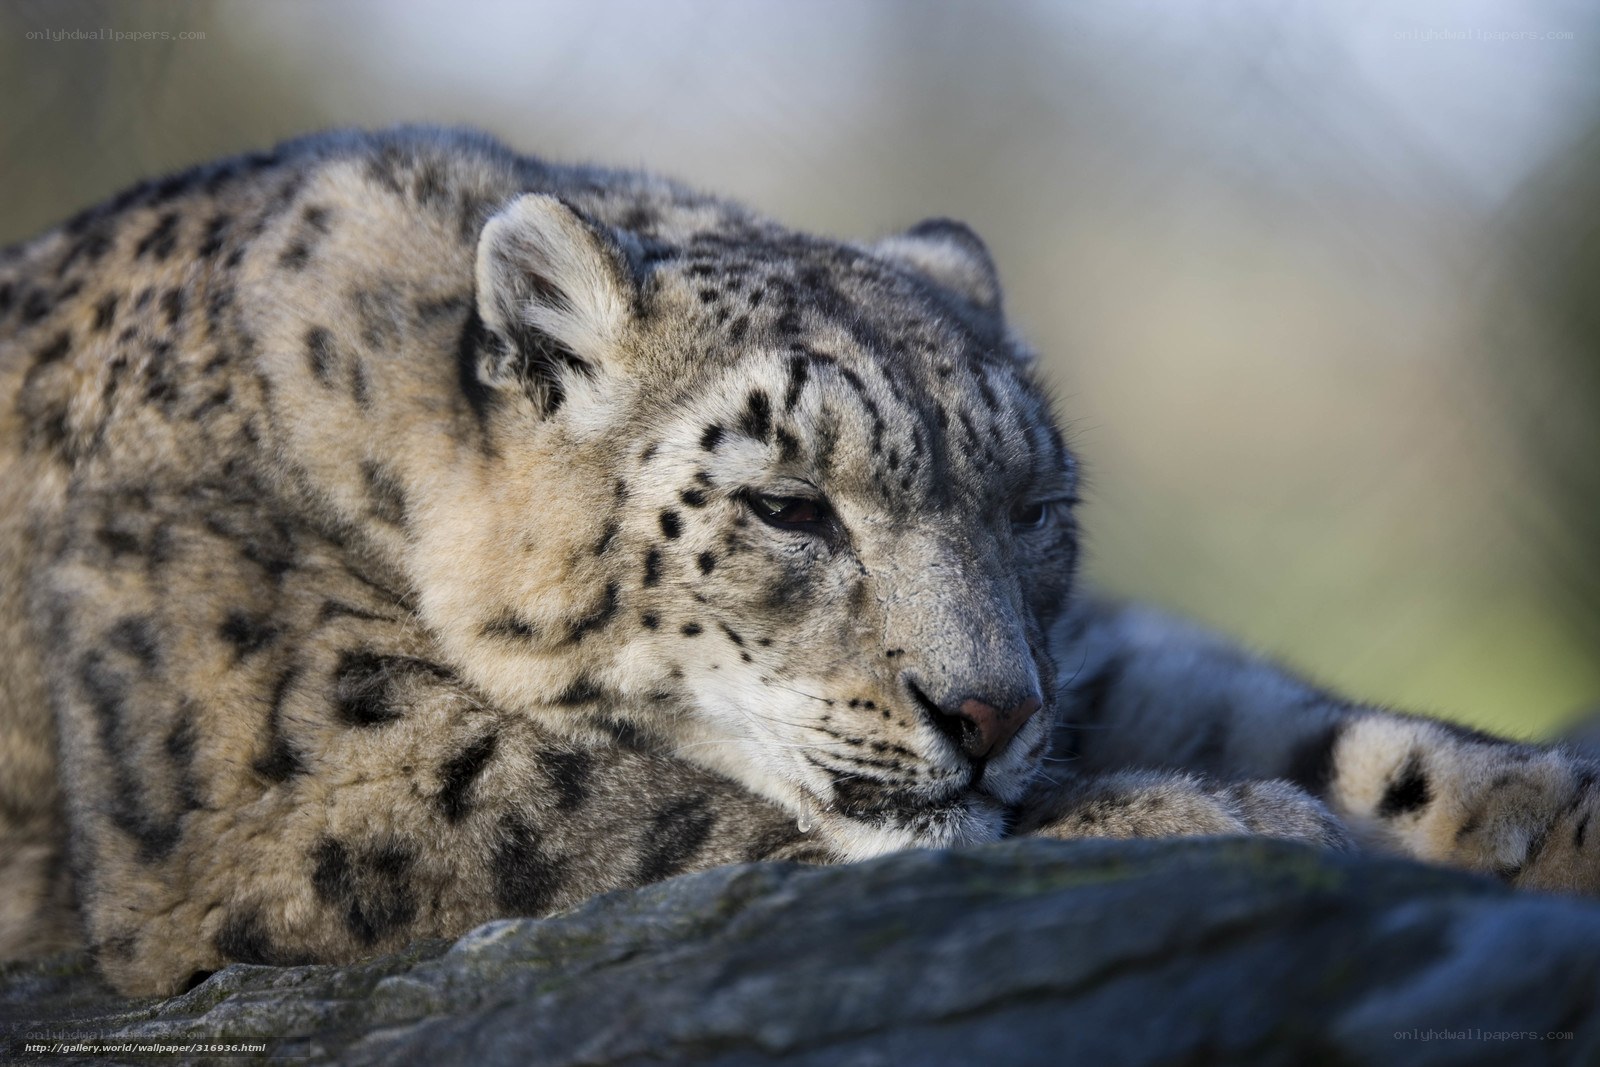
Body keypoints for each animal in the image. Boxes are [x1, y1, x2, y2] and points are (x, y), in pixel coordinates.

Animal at [2, 127, 1597, 996]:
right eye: (789, 507)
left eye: (1032, 507)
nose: (991, 712)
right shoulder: (290, 767)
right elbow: (627, 803)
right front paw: (1208, 818)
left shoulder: (1084, 652)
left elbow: (1279, 709)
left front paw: (1547, 810)